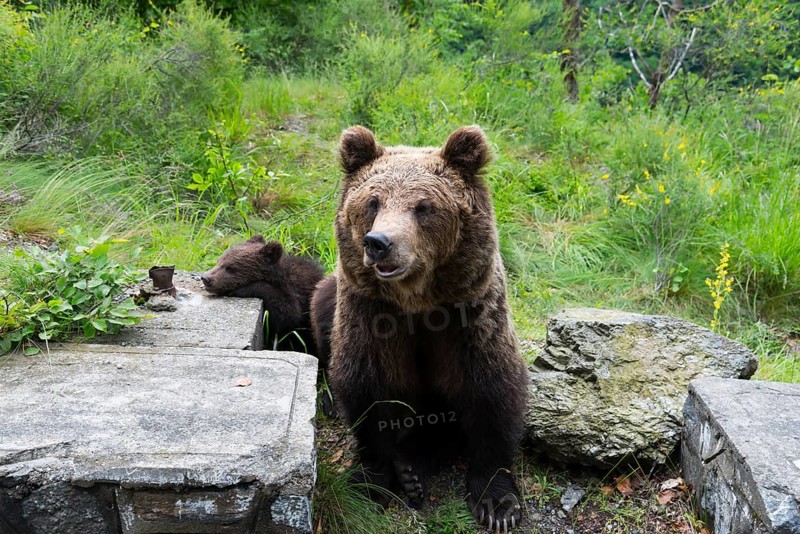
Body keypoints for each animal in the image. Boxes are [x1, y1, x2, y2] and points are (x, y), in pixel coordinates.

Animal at [328, 125, 529, 532]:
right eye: (373, 202)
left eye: (423, 207)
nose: (379, 243)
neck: (416, 303)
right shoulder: (369, 315)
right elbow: (366, 389)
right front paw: (369, 482)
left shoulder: (470, 316)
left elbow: (492, 391)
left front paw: (497, 503)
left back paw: (415, 464)